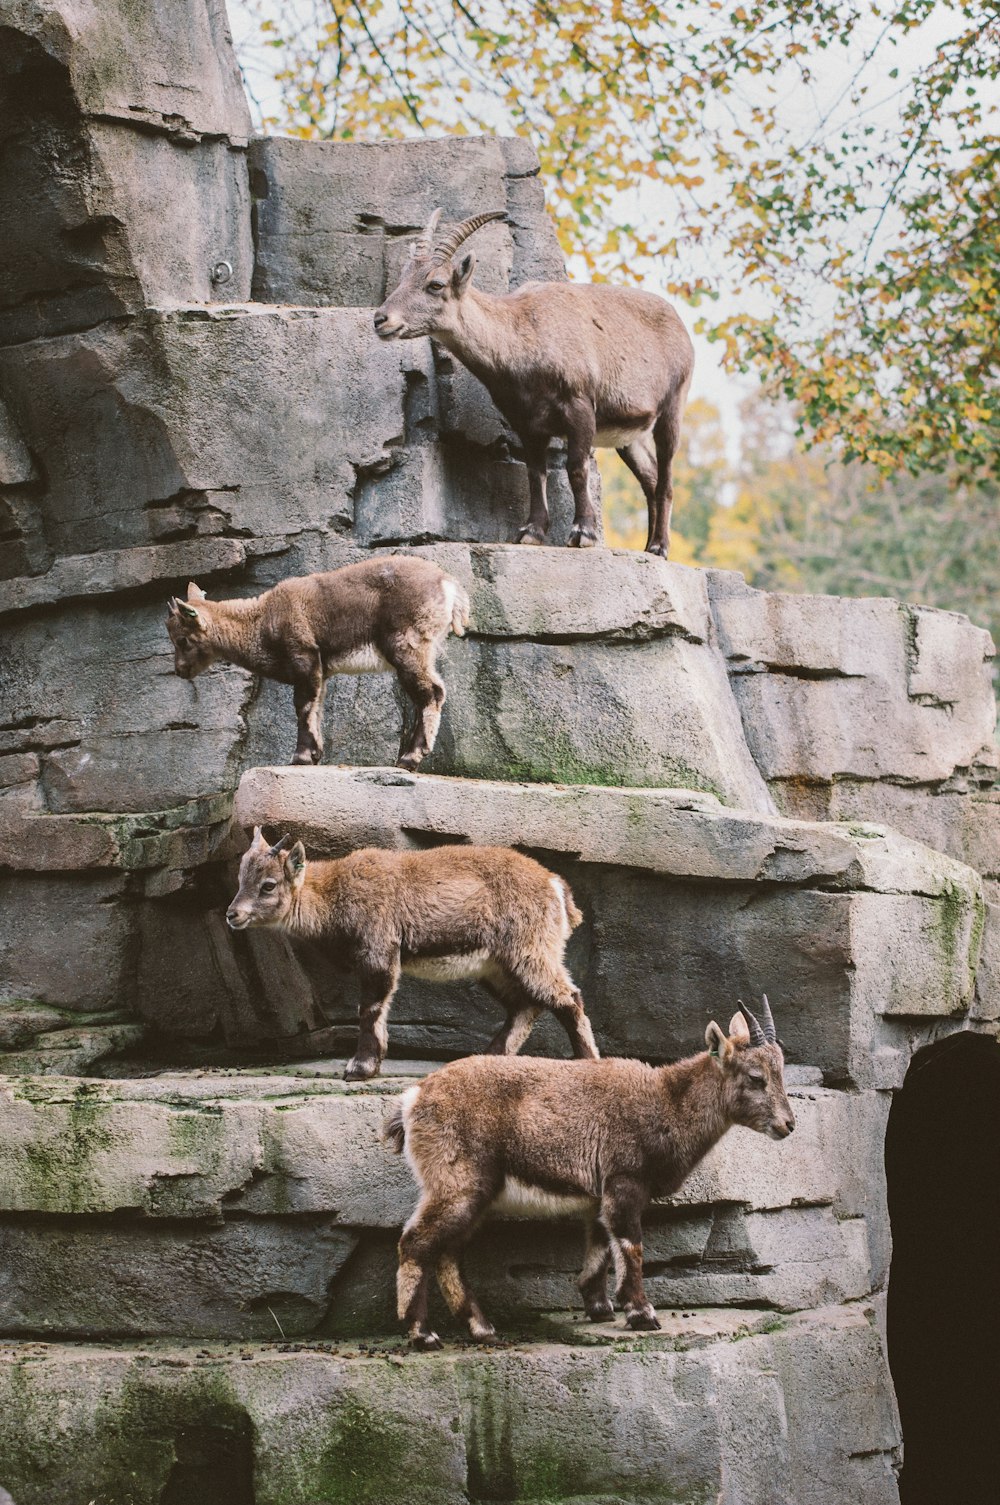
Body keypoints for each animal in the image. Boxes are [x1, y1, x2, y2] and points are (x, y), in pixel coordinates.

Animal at [165, 553, 469, 764]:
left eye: (182, 640)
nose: (180, 670)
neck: (262, 621)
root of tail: (449, 585)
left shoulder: (304, 657)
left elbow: (303, 707)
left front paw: (300, 757)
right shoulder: (320, 670)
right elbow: (318, 706)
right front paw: (314, 755)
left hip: (407, 646)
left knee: (431, 693)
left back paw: (410, 758)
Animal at [228, 824, 602, 1083]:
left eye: (268, 885)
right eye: (241, 879)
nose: (233, 914)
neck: (335, 893)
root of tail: (556, 887)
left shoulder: (379, 951)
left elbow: (370, 1009)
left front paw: (360, 1067)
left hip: (530, 949)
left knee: (567, 997)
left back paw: (587, 1061)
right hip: (495, 965)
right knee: (526, 1005)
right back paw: (488, 1057)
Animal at [375, 212, 695, 559]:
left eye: (436, 284)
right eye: (403, 278)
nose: (381, 319)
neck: (522, 332)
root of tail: (681, 327)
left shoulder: (580, 407)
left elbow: (576, 468)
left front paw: (583, 533)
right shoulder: (527, 423)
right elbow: (534, 473)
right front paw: (531, 532)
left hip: (673, 407)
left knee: (666, 479)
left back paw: (660, 546)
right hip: (628, 435)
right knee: (649, 477)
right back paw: (647, 545)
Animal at [385, 1005, 795, 1348]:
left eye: (780, 1072)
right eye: (756, 1077)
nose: (789, 1125)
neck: (668, 1102)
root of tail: (412, 1100)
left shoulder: (600, 1195)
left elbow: (599, 1246)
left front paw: (599, 1308)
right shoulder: (624, 1180)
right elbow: (630, 1245)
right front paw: (642, 1314)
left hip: (470, 1193)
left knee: (447, 1252)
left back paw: (481, 1327)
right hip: (458, 1183)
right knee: (416, 1243)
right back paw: (423, 1335)